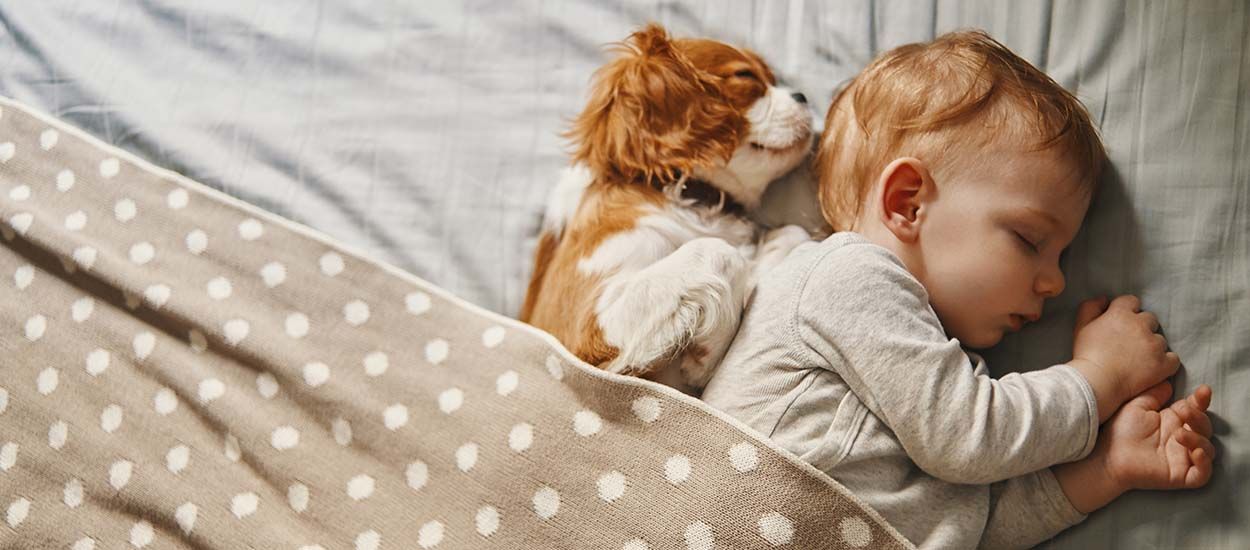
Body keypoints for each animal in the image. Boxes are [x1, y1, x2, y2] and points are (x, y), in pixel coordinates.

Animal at [517, 22, 810, 390]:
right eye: (746, 76)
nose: (803, 96)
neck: (691, 199)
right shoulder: (579, 332)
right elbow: (717, 250)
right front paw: (705, 354)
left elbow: (793, 232)